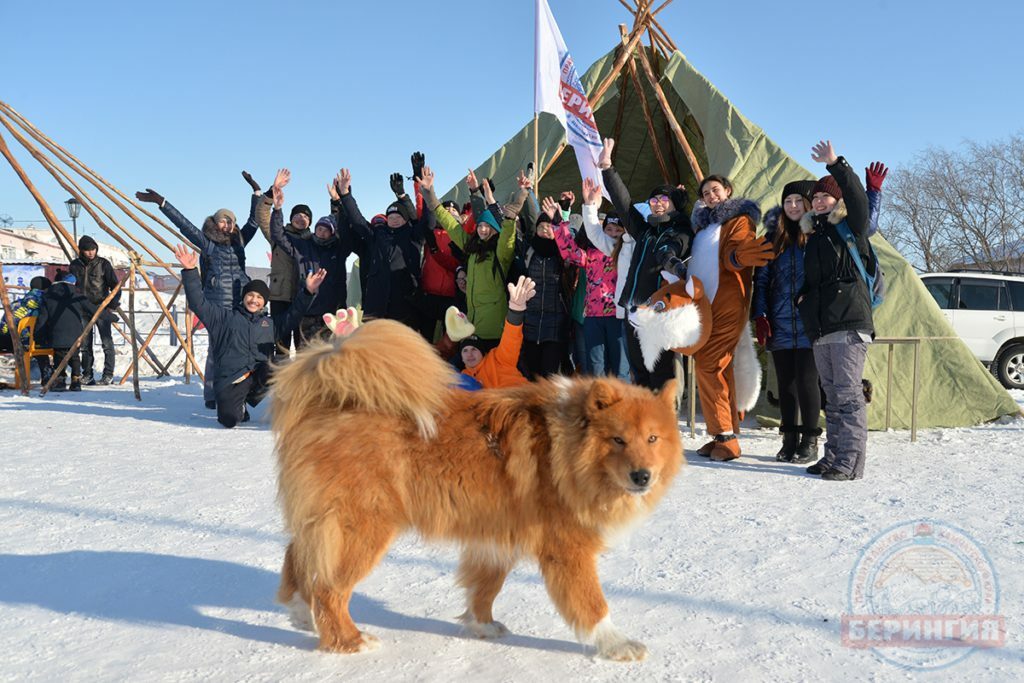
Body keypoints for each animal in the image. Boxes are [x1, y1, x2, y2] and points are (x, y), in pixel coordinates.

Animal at [274, 321, 679, 663]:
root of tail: (328, 399)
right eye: (618, 440)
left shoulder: (497, 534)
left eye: (652, 439)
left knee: (298, 556)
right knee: (328, 588)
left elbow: (486, 588)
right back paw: (348, 640)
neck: (564, 448)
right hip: (362, 529)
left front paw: (482, 625)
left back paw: (301, 614)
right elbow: (594, 605)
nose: (642, 476)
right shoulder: (567, 549)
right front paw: (617, 645)